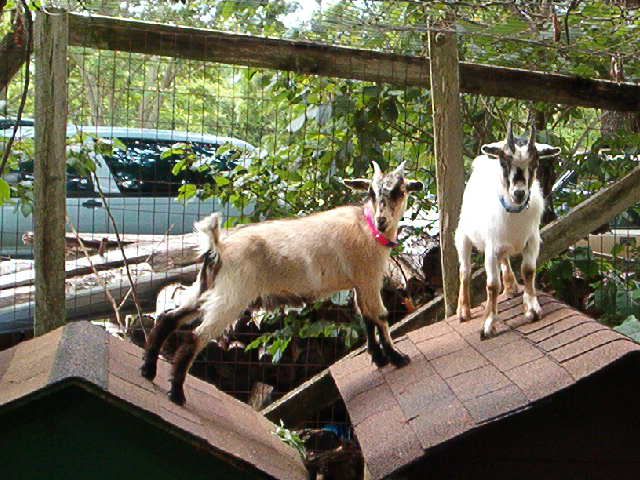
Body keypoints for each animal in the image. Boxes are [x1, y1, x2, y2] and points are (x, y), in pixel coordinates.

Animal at [140, 161, 423, 405]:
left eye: (400, 191)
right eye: (372, 192)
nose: (382, 221)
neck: (367, 228)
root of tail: (218, 248)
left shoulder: (360, 284)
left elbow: (367, 318)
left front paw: (379, 358)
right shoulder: (369, 279)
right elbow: (381, 316)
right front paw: (397, 358)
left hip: (206, 288)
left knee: (168, 318)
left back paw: (148, 370)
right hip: (231, 297)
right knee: (194, 337)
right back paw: (176, 394)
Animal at [455, 121, 560, 339]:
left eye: (535, 163)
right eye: (504, 162)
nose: (519, 193)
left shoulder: (532, 241)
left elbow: (528, 270)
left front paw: (532, 309)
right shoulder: (490, 248)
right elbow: (492, 285)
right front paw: (488, 325)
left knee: (504, 259)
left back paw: (511, 286)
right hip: (463, 236)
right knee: (465, 271)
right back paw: (463, 311)